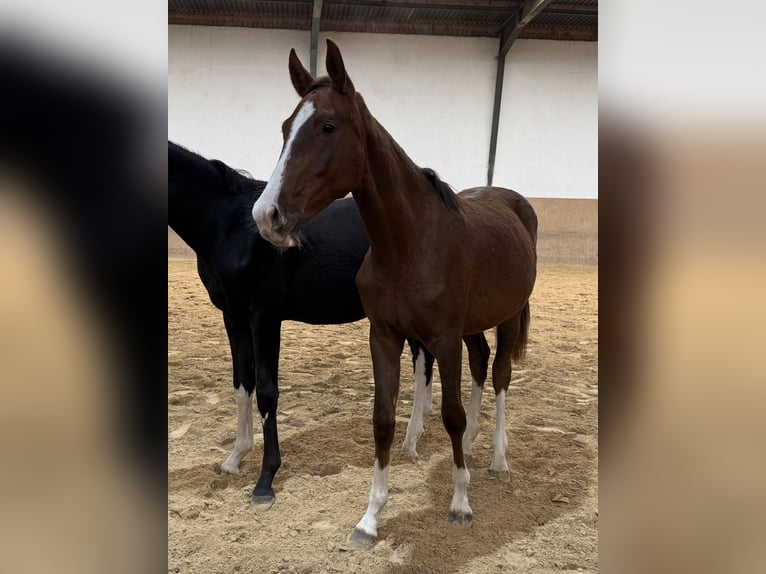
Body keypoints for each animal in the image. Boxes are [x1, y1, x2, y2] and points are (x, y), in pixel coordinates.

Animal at [168, 141, 440, 508]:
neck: (231, 226)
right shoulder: (234, 318)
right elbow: (242, 386)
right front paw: (235, 459)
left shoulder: (264, 317)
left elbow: (267, 391)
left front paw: (265, 481)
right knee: (424, 362)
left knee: (424, 362)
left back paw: (410, 443)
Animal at [251, 39, 538, 547]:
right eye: (286, 127)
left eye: (327, 126)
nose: (268, 216)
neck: (411, 242)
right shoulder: (384, 336)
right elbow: (383, 418)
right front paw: (369, 518)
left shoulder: (443, 338)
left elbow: (450, 413)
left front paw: (460, 503)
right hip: (473, 327)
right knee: (482, 365)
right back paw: (475, 443)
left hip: (508, 316)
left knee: (501, 375)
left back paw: (498, 460)